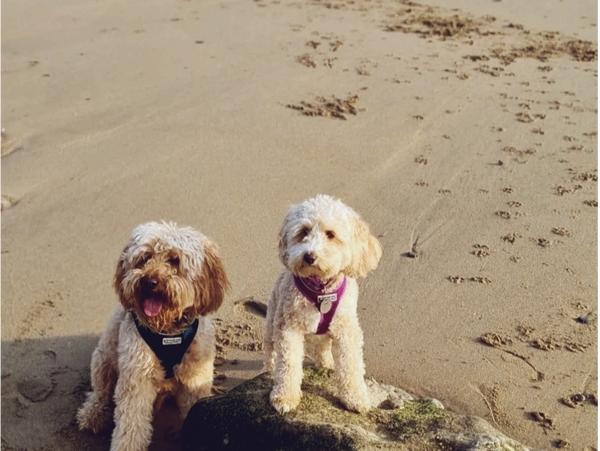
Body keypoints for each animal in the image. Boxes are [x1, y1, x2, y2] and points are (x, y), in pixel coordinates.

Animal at [76, 222, 229, 451]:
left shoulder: (196, 374)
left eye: (174, 260)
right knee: (100, 394)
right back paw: (93, 413)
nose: (150, 281)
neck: (168, 331)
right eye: (145, 257)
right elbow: (131, 423)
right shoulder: (137, 375)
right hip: (103, 361)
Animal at [264, 196, 382, 414]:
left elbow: (351, 365)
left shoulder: (347, 330)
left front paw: (355, 397)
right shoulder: (288, 327)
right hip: (271, 322)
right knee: (270, 352)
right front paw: (285, 396)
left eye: (331, 234)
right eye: (304, 231)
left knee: (323, 349)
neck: (321, 290)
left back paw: (327, 364)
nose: (309, 256)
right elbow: (288, 364)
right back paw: (267, 369)